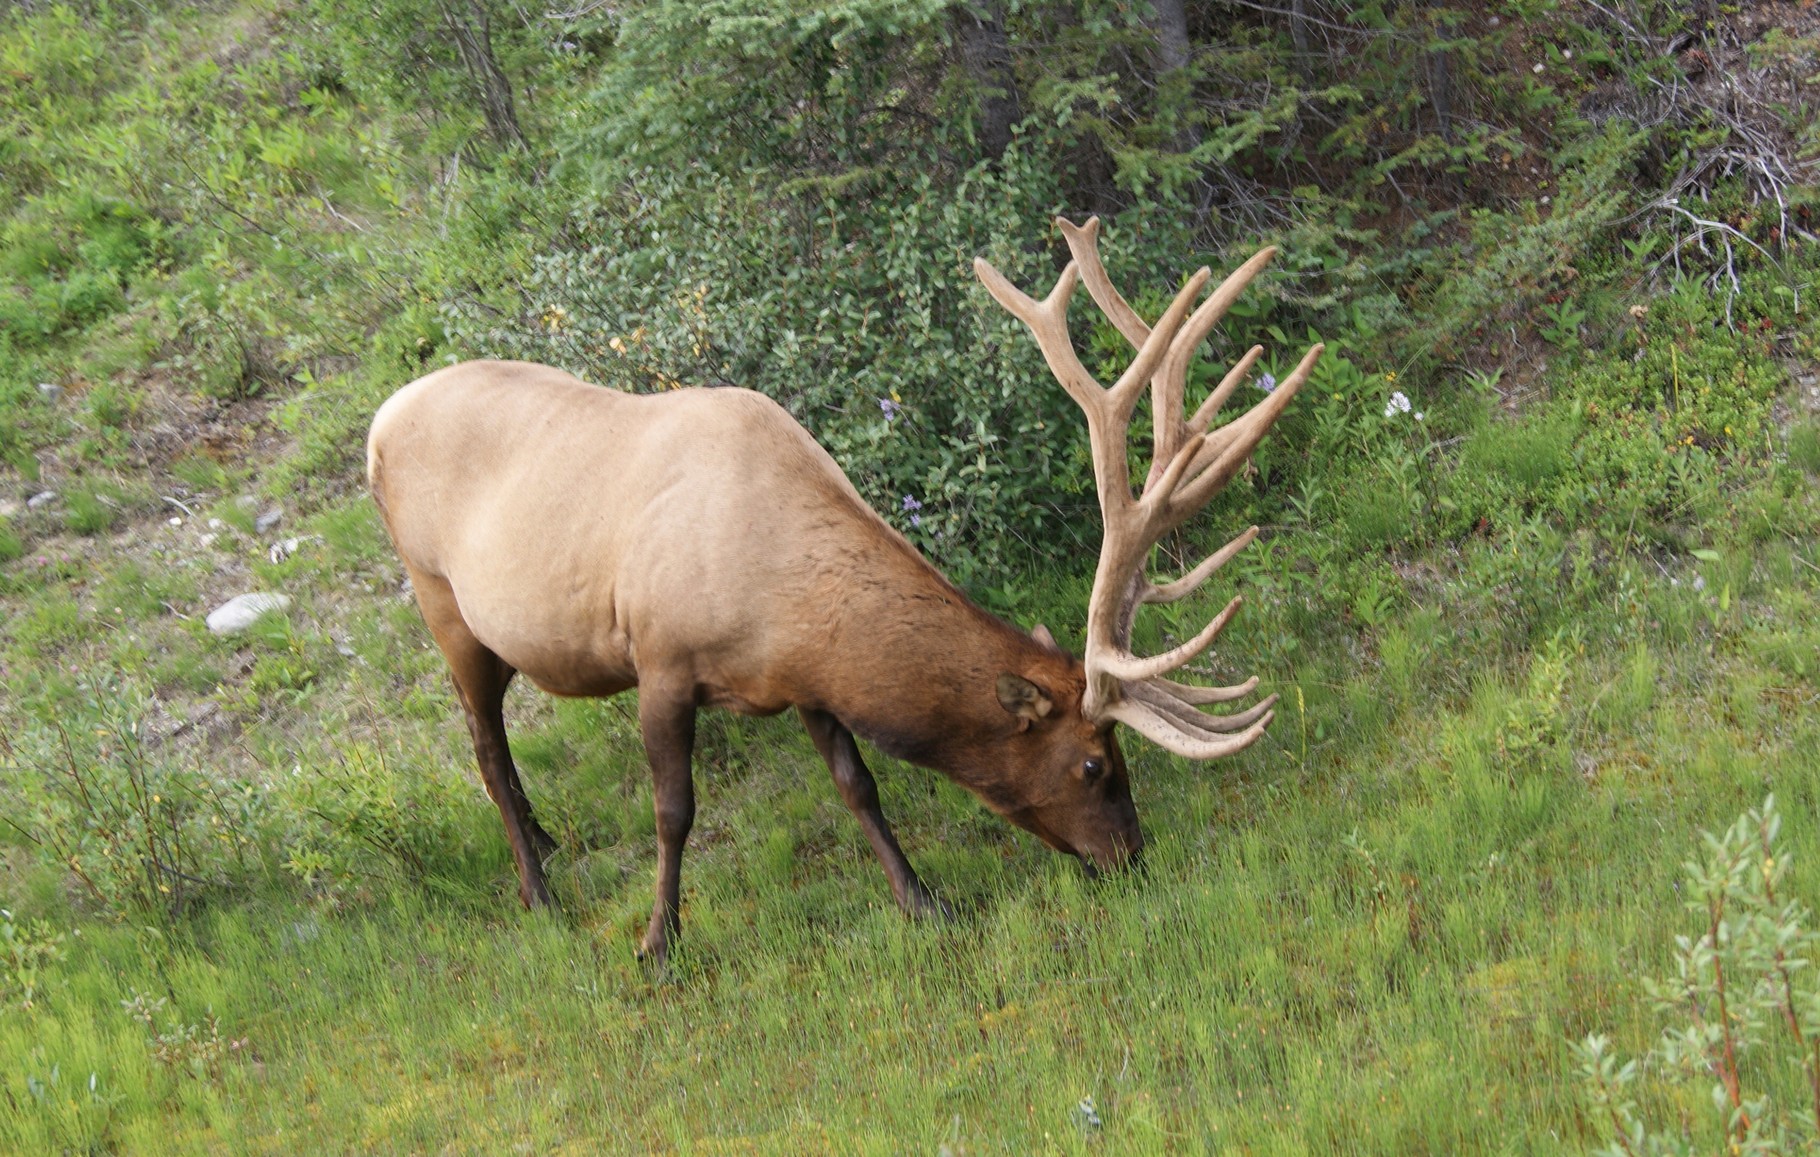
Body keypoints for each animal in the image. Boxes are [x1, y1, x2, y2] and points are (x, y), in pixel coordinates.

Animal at [365, 216, 1324, 967]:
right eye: (1095, 762)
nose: (1133, 856)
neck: (777, 600)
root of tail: (377, 419)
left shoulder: (805, 682)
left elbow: (858, 784)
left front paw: (925, 901)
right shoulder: (661, 659)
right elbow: (675, 809)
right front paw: (658, 941)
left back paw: (546, 841)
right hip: (441, 598)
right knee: (485, 746)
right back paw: (538, 889)